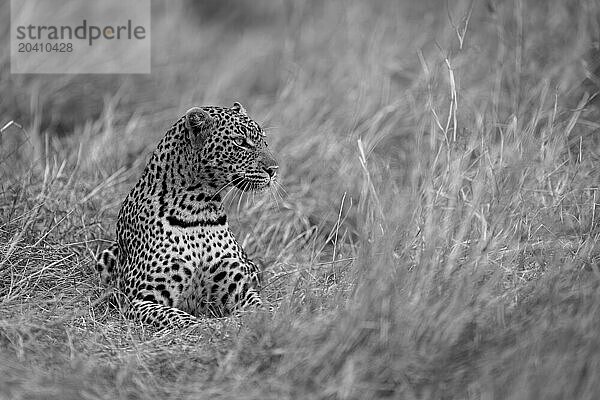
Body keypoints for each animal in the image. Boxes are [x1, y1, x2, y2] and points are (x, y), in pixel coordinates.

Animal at [95, 102, 278, 328]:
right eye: (240, 142)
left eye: (264, 140)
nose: (274, 169)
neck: (199, 209)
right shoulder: (139, 299)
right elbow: (181, 319)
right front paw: (211, 327)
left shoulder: (241, 291)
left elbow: (264, 309)